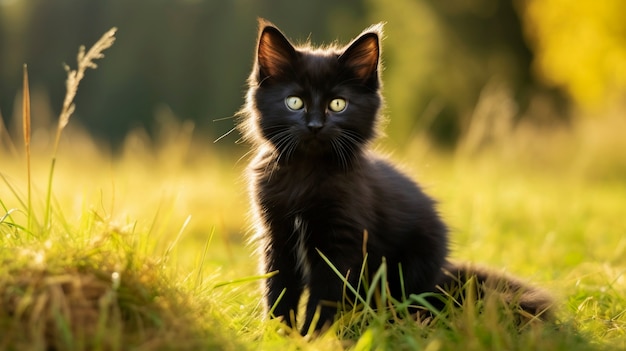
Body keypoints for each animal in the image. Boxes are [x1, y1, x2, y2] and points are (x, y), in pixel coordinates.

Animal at [239, 20, 552, 336]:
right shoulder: (275, 237)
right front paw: (278, 334)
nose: (315, 125)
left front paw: (315, 336)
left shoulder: (341, 244)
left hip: (412, 267)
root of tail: (441, 278)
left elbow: (325, 296)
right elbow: (278, 289)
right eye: (294, 102)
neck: (306, 174)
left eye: (338, 104)